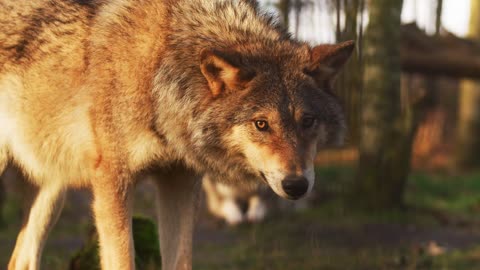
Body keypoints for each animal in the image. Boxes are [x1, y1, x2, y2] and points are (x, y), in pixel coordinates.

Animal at [0, 0, 352, 268]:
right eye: (261, 124)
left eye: (308, 121)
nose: (297, 185)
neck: (159, 73)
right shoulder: (113, 182)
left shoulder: (179, 180)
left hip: (51, 191)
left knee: (21, 260)